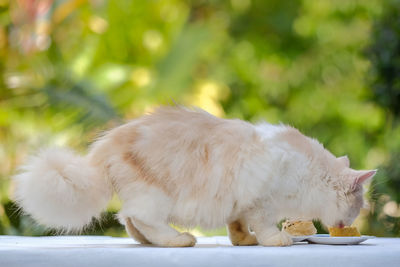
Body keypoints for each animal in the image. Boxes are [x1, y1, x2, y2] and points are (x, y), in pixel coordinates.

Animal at [12, 105, 376, 248]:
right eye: (356, 208)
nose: (348, 223)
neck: (309, 172)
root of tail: (107, 144)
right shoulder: (263, 201)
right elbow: (265, 226)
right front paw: (276, 240)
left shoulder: (241, 204)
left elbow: (238, 227)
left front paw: (245, 242)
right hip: (154, 197)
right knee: (140, 219)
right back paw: (179, 240)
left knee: (129, 222)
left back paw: (154, 242)